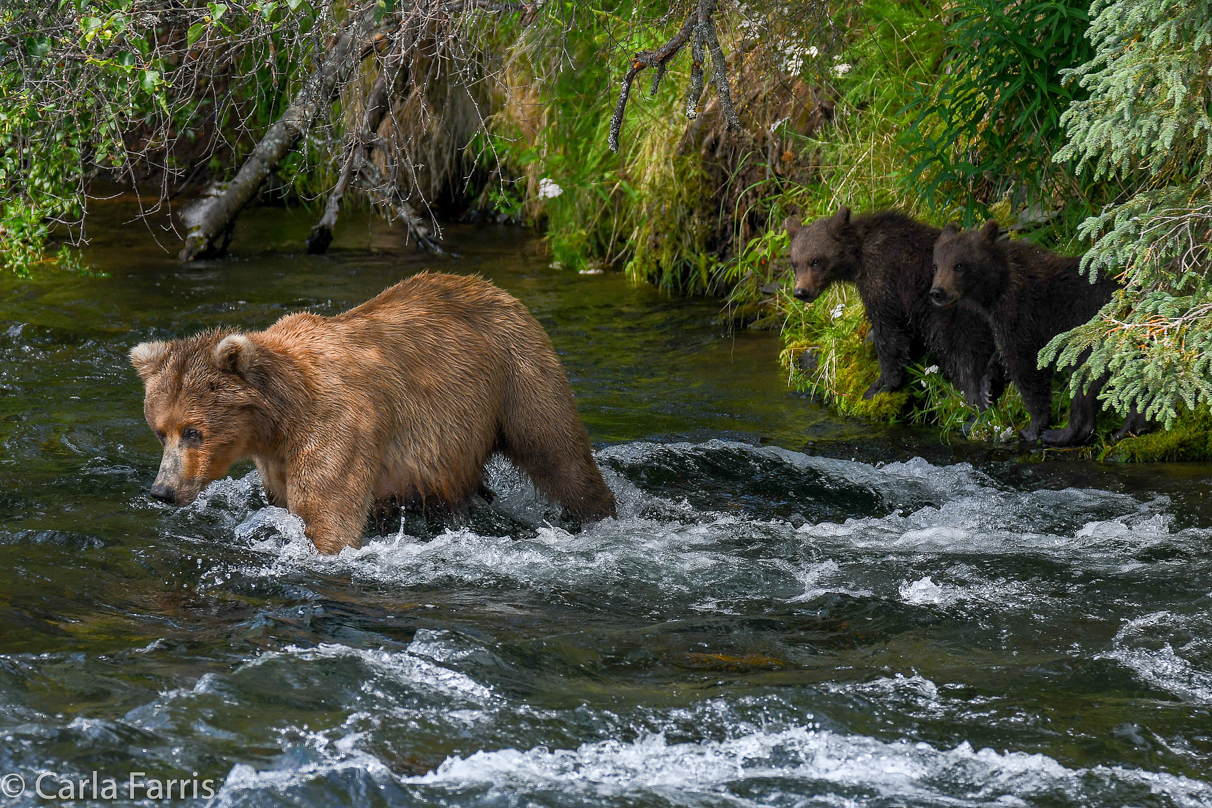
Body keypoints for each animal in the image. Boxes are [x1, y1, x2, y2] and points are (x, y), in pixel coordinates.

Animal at [132, 273, 615, 557]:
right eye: (160, 431)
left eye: (193, 431)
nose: (162, 491)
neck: (279, 419)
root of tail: (497, 288)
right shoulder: (276, 459)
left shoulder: (337, 426)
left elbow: (328, 517)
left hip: (518, 376)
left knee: (560, 455)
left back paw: (601, 514)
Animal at [785, 207, 1003, 411]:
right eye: (795, 263)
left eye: (816, 260)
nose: (800, 291)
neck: (857, 258)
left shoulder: (884, 279)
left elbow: (889, 332)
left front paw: (880, 385)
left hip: (954, 316)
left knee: (962, 351)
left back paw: (974, 396)